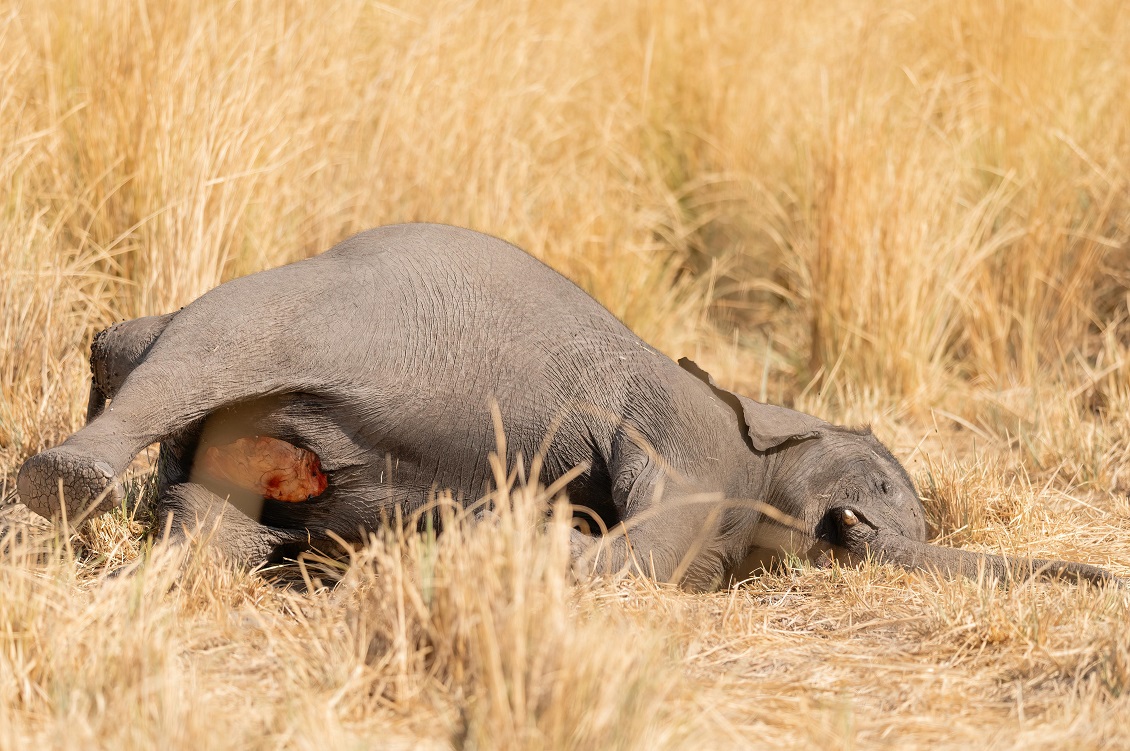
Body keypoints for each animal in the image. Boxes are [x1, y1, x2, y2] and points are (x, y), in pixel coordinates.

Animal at [15, 220, 1120, 587]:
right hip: (307, 305)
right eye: (888, 483)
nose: (858, 527)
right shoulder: (685, 434)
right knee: (178, 349)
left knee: (210, 525)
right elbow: (651, 533)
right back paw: (57, 485)